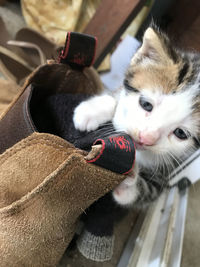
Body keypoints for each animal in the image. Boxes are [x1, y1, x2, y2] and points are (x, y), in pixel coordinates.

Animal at [72, 25, 200, 207]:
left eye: (181, 133)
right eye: (146, 104)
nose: (145, 138)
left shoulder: (167, 170)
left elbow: (145, 192)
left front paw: (129, 179)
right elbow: (118, 95)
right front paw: (91, 111)